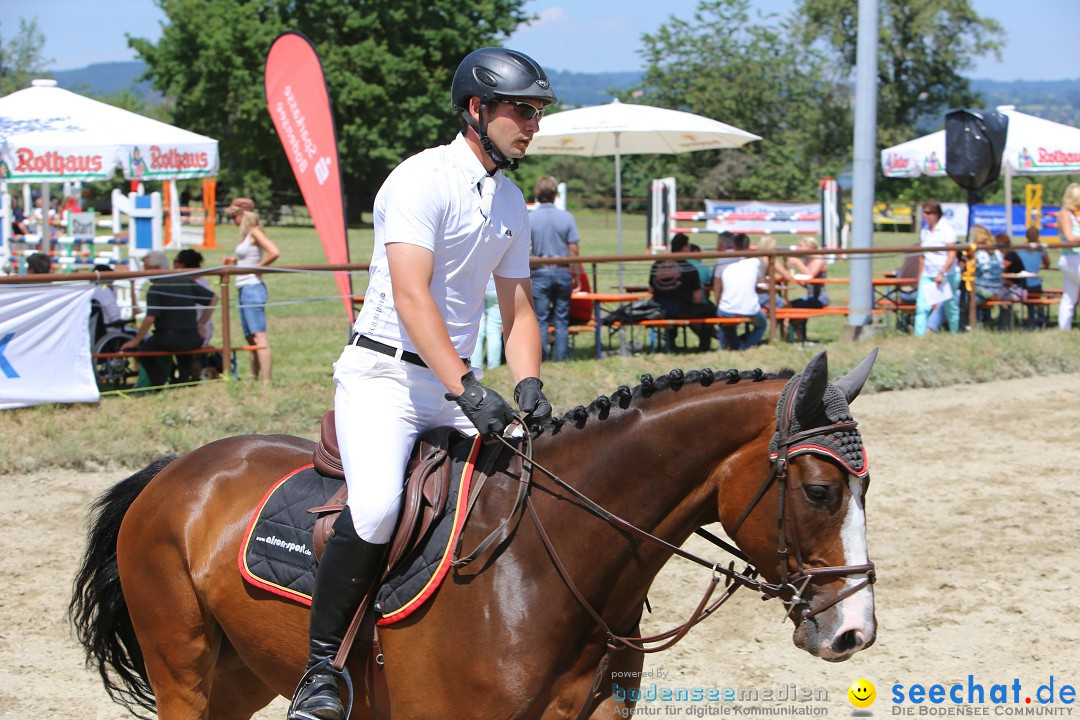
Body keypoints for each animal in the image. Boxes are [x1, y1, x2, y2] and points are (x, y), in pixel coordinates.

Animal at [69, 349, 876, 720]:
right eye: (820, 491)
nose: (854, 634)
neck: (547, 567)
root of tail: (175, 471)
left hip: (238, 674)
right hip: (182, 667)